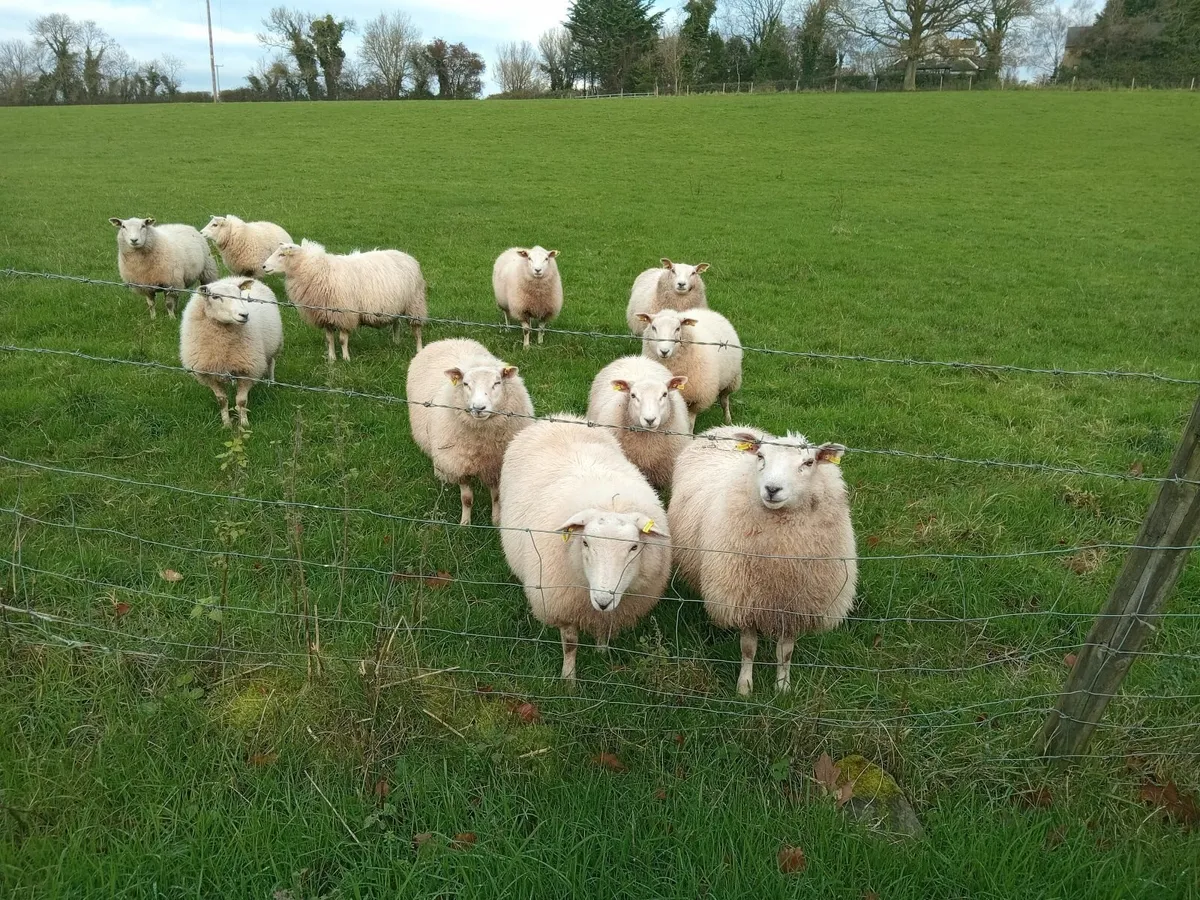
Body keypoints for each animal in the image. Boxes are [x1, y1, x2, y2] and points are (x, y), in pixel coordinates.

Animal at [179, 276, 283, 429]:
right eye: (215, 297)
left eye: (240, 294)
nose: (244, 315)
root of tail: (236, 277)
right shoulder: (209, 373)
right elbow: (222, 401)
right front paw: (226, 424)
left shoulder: (247, 370)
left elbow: (241, 401)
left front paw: (244, 424)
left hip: (274, 344)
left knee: (271, 363)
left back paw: (271, 382)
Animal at [262, 240, 426, 362]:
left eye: (282, 254)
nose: (263, 266)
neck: (316, 270)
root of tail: (407, 256)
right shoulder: (325, 315)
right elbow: (329, 339)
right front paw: (332, 359)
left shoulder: (344, 314)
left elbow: (342, 339)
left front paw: (346, 359)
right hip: (397, 305)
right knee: (396, 323)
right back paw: (396, 342)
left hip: (415, 303)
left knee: (417, 330)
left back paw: (418, 349)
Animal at [407, 338, 534, 526]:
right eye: (466, 384)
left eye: (497, 383)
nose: (478, 408)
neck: (481, 443)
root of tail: (448, 340)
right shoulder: (459, 464)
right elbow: (467, 499)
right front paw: (465, 524)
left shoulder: (494, 465)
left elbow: (496, 496)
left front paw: (495, 520)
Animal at [499, 416, 672, 682]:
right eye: (585, 542)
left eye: (634, 547)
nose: (602, 600)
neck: (611, 503)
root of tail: (563, 417)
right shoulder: (563, 605)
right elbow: (570, 644)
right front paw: (568, 679)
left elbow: (605, 629)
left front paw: (602, 653)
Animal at [668, 426, 856, 695]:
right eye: (760, 457)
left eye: (808, 462)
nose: (772, 489)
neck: (779, 559)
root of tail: (727, 428)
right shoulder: (744, 599)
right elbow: (748, 648)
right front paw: (745, 687)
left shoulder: (794, 606)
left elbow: (785, 652)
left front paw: (783, 687)